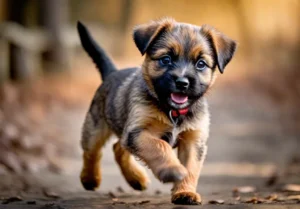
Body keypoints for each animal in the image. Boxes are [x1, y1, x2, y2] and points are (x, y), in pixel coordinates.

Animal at [78, 18, 237, 204]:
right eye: (166, 59)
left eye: (201, 64)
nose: (182, 82)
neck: (173, 112)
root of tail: (112, 72)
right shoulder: (140, 132)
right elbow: (160, 147)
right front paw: (172, 169)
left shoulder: (192, 140)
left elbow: (190, 168)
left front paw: (185, 192)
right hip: (95, 127)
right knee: (92, 151)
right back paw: (90, 179)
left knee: (118, 148)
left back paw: (136, 178)